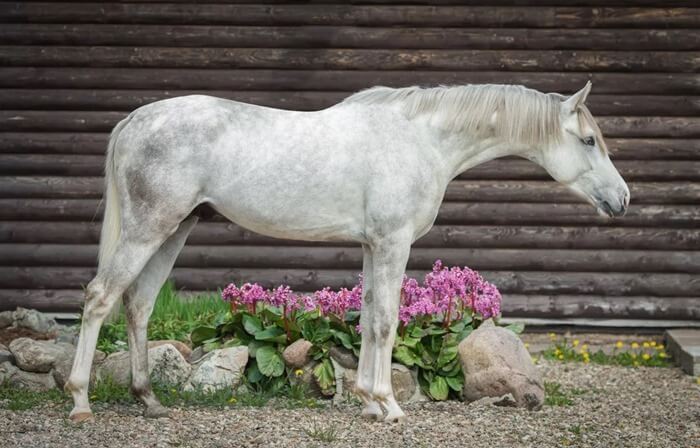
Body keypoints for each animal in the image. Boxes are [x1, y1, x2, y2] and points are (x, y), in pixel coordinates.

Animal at [65, 82, 629, 423]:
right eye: (587, 141)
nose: (622, 199)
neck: (422, 139)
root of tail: (136, 120)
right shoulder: (393, 242)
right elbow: (387, 322)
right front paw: (388, 406)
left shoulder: (372, 244)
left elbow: (371, 317)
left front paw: (370, 403)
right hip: (150, 227)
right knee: (100, 297)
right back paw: (80, 402)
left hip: (175, 228)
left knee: (138, 304)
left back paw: (149, 400)